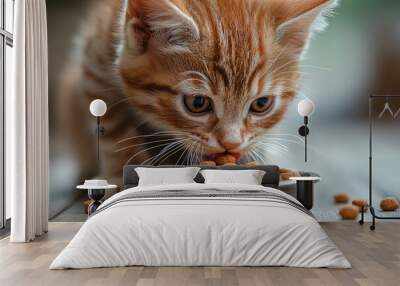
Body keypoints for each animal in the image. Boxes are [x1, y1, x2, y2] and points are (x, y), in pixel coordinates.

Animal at [60, 0, 338, 183]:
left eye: (261, 104)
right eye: (197, 103)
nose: (230, 144)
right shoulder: (94, 64)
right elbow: (114, 128)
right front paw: (121, 173)